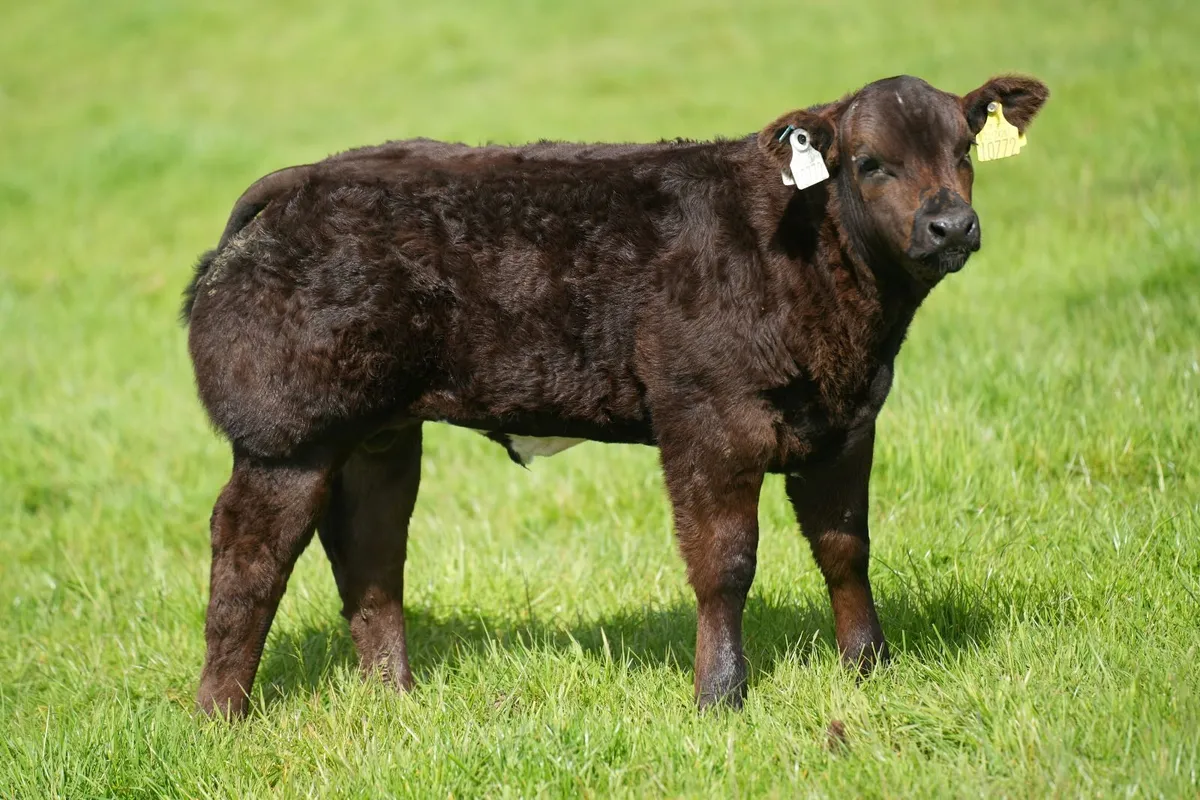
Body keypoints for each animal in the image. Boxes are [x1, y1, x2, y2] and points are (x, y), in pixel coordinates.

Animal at [182, 74, 1048, 717]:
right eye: (868, 161)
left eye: (965, 149)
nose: (951, 225)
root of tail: (304, 179)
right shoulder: (707, 416)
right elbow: (725, 562)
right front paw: (720, 695)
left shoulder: (847, 421)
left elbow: (845, 548)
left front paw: (870, 668)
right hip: (288, 433)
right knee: (251, 553)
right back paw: (221, 713)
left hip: (379, 431)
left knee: (369, 546)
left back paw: (395, 699)